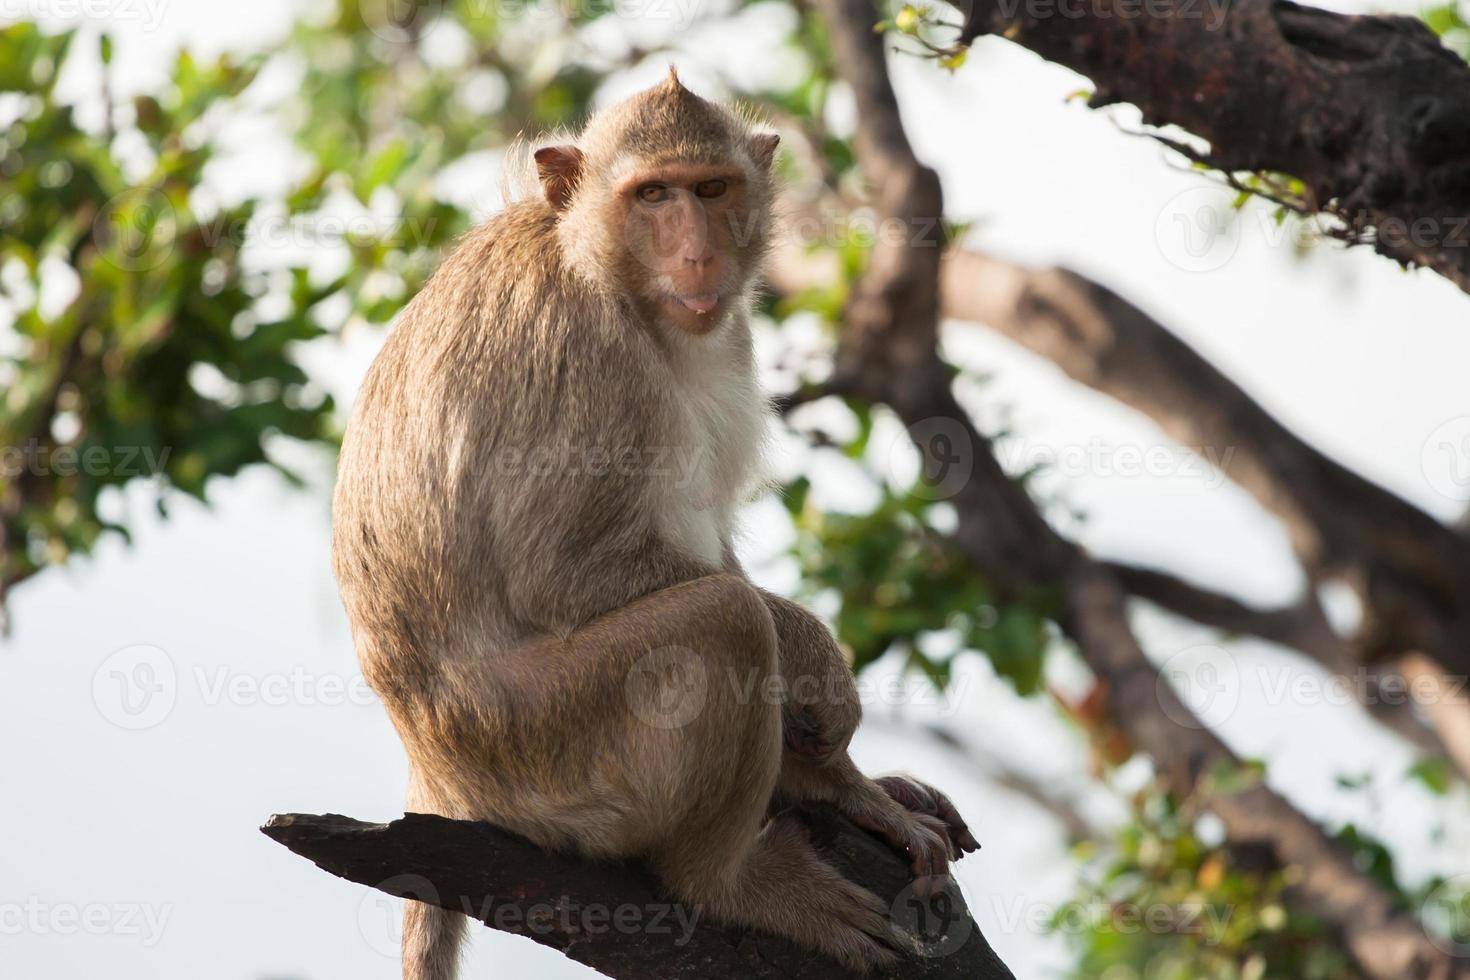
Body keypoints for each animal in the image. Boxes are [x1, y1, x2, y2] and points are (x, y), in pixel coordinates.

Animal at [330, 70, 976, 980]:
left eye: (711, 189)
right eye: (652, 195)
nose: (698, 254)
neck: (605, 270)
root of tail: (435, 779)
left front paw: (848, 783)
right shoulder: (583, 357)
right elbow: (562, 571)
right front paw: (816, 661)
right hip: (542, 750)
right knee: (725, 624)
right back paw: (730, 882)